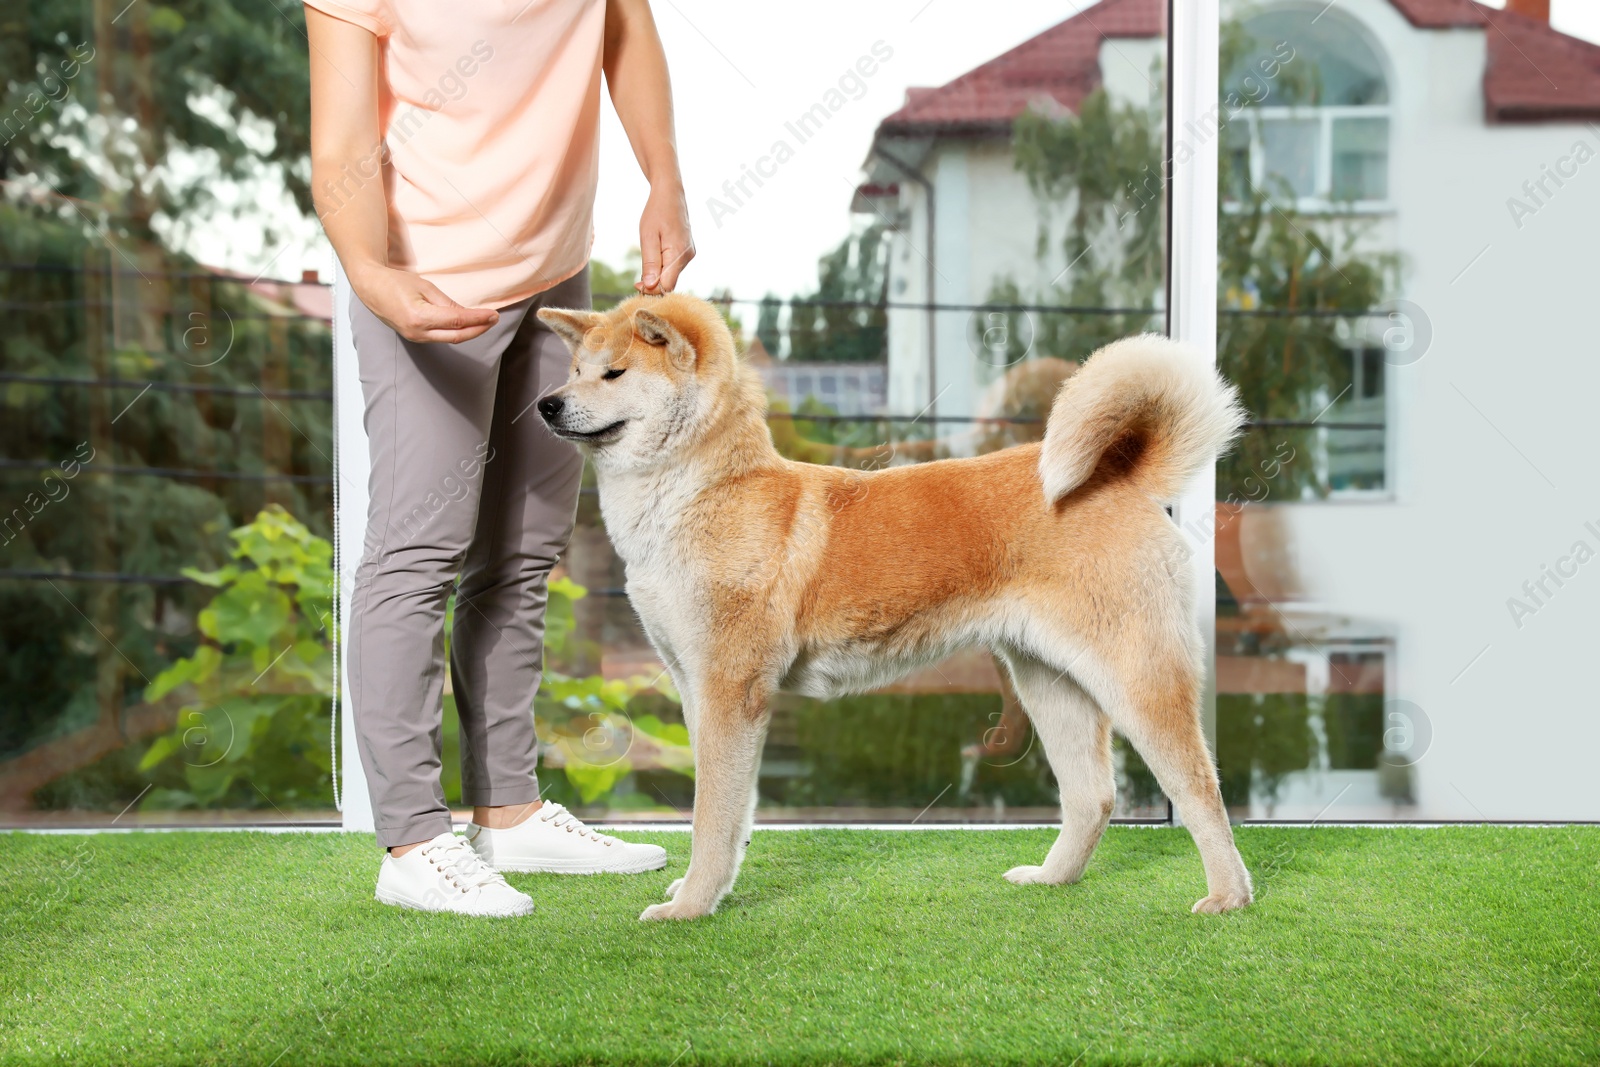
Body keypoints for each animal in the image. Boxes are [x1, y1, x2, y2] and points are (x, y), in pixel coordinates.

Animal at [537, 292, 1248, 921]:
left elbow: (711, 817)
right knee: (1093, 795)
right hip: (1047, 681)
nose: (545, 404)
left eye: (614, 372)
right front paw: (706, 892)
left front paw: (689, 906)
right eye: (575, 370)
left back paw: (1227, 897)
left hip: (1137, 678)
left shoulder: (730, 691)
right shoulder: (696, 687)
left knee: (1199, 786)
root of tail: (1119, 478)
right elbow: (729, 816)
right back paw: (1053, 878)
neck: (701, 495)